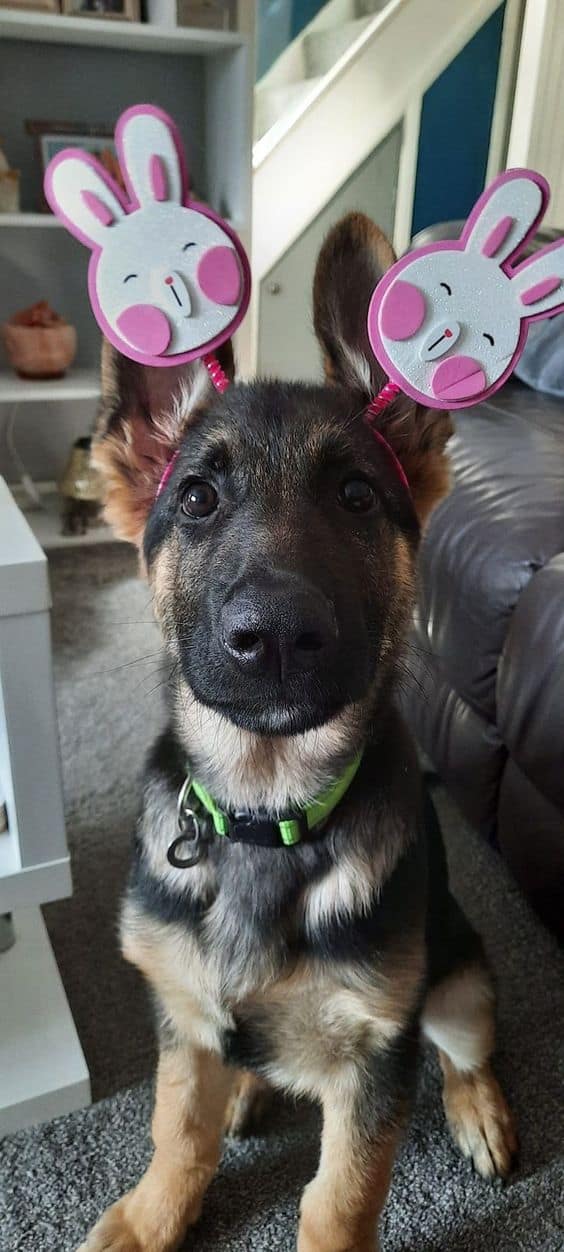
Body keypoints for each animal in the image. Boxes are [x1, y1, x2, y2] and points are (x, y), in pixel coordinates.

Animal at [80, 215, 516, 1252]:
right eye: (196, 498)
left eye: (357, 496)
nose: (275, 636)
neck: (266, 809)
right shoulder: (182, 1015)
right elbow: (176, 1128)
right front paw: (152, 1216)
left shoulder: (374, 1054)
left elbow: (342, 1197)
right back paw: (249, 1090)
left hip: (460, 977)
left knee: (468, 1051)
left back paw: (478, 1110)